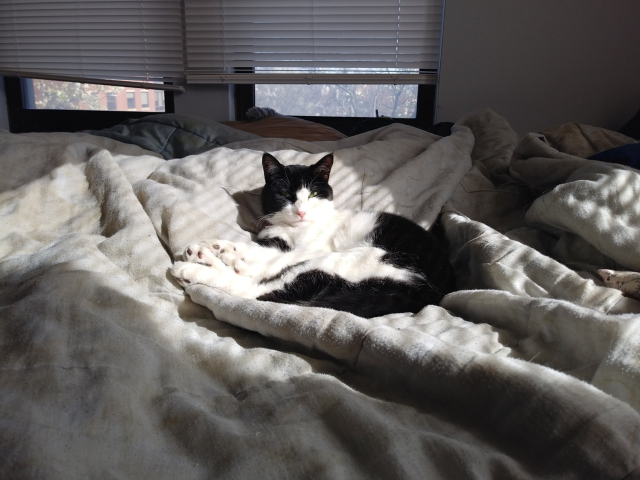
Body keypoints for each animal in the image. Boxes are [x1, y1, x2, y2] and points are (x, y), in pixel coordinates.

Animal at [171, 154, 456, 318]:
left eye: (314, 194)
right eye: (286, 195)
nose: (301, 211)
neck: (292, 230)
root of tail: (426, 297)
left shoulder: (308, 250)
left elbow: (262, 259)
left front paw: (223, 252)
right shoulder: (276, 242)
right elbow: (256, 248)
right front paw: (214, 246)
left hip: (347, 262)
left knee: (256, 290)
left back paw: (193, 267)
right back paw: (203, 256)